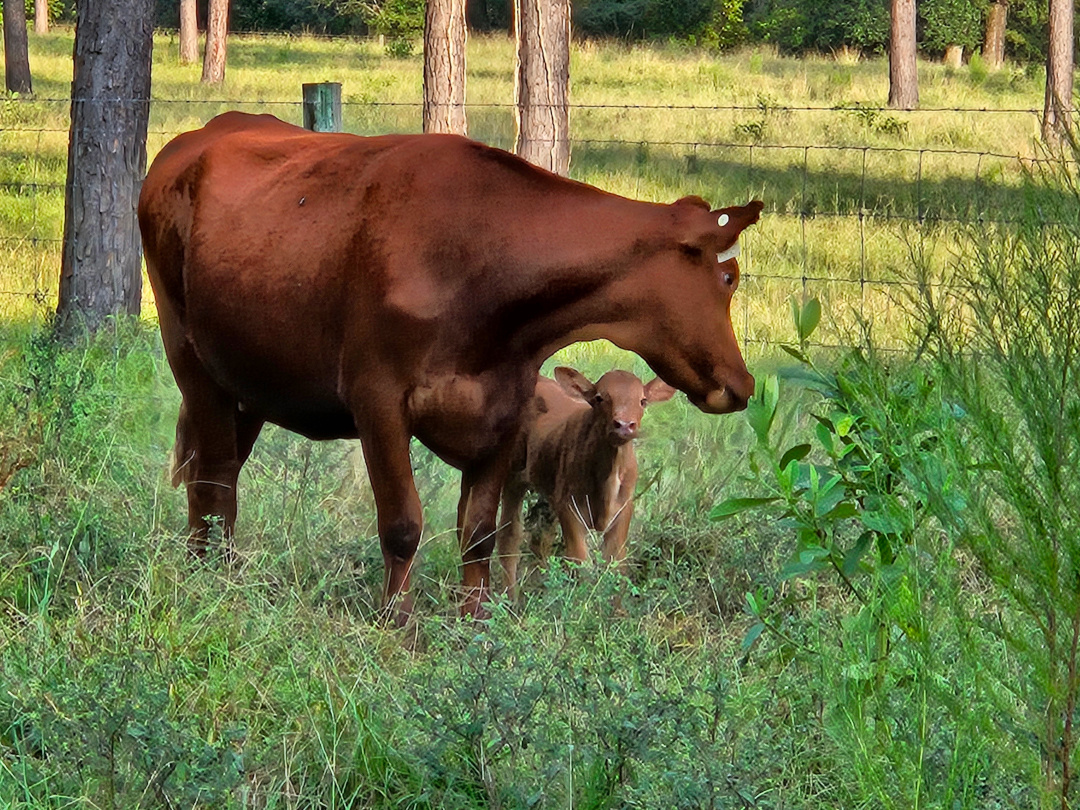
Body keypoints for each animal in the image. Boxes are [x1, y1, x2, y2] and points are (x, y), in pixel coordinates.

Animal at [494, 367, 673, 596]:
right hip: (512, 476)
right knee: (509, 537)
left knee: (540, 539)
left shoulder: (624, 509)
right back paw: (510, 599)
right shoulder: (569, 508)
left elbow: (616, 568)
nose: (624, 425)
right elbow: (581, 565)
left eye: (642, 400)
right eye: (599, 398)